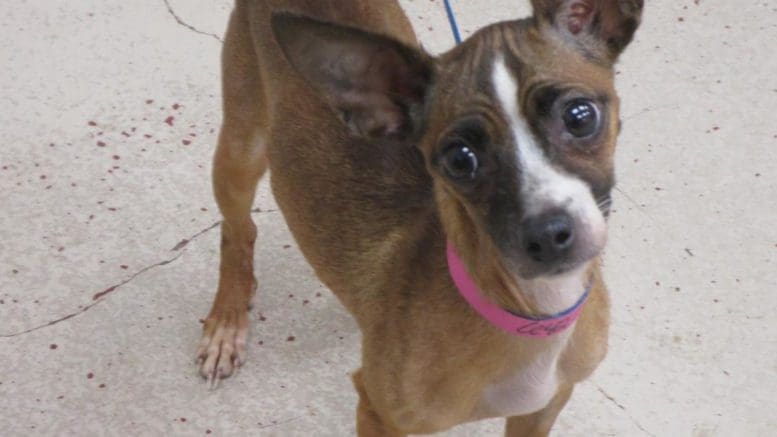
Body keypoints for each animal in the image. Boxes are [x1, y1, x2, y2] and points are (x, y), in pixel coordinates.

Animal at [196, 0, 644, 432]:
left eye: (580, 116)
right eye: (460, 159)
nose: (548, 234)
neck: (532, 310)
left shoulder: (544, 407)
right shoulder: (379, 413)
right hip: (240, 151)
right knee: (238, 231)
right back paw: (227, 323)